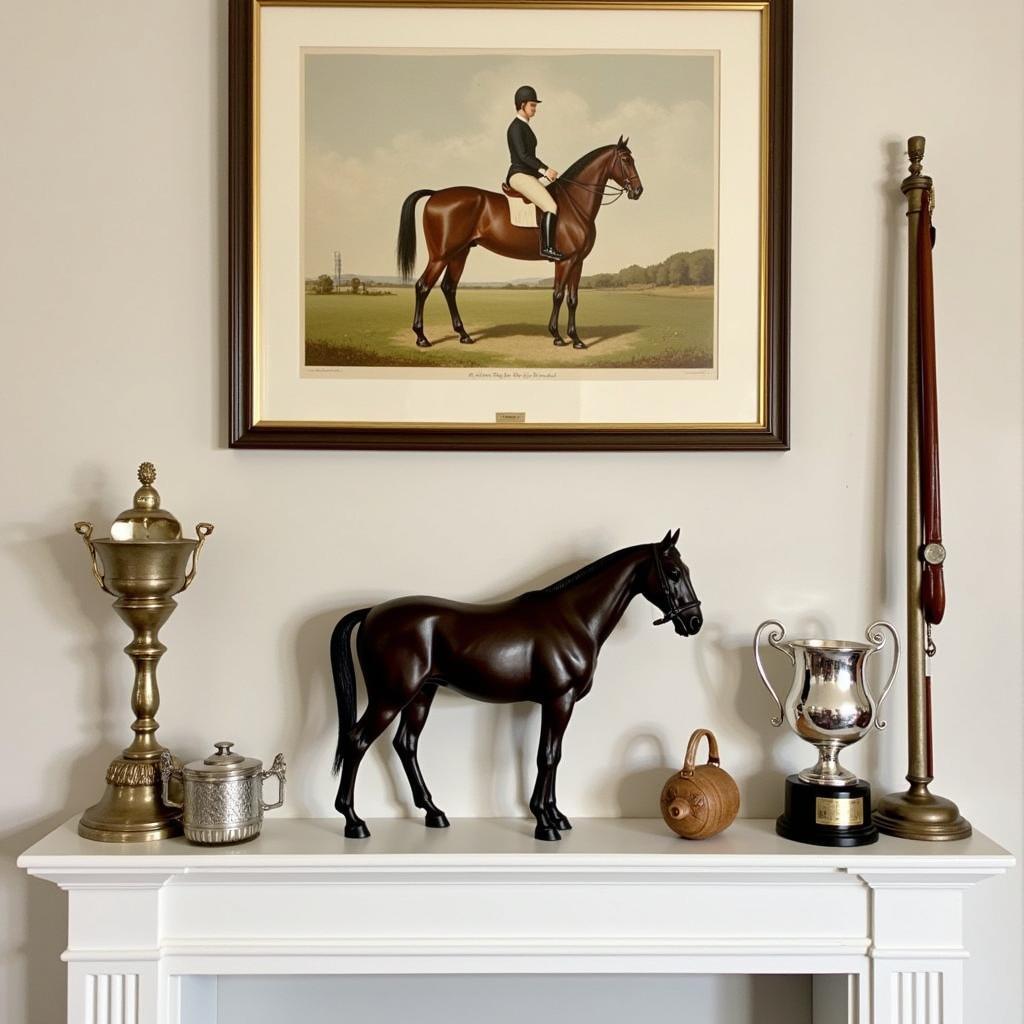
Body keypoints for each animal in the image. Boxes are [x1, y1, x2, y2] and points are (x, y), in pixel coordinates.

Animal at [331, 532, 700, 843]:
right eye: (673, 572)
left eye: (685, 569)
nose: (694, 621)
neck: (573, 619)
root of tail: (371, 613)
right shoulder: (559, 700)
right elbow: (546, 757)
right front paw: (545, 824)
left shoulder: (554, 704)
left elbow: (554, 756)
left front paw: (557, 816)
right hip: (390, 697)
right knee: (357, 740)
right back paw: (354, 822)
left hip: (421, 695)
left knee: (406, 744)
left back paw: (434, 814)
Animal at [397, 138, 643, 350]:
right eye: (625, 159)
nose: (638, 191)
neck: (574, 204)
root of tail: (436, 194)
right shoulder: (564, 261)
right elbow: (558, 295)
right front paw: (557, 336)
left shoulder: (577, 261)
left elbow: (573, 299)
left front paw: (576, 340)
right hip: (440, 256)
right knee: (423, 287)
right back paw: (422, 338)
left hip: (459, 253)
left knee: (449, 288)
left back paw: (464, 335)